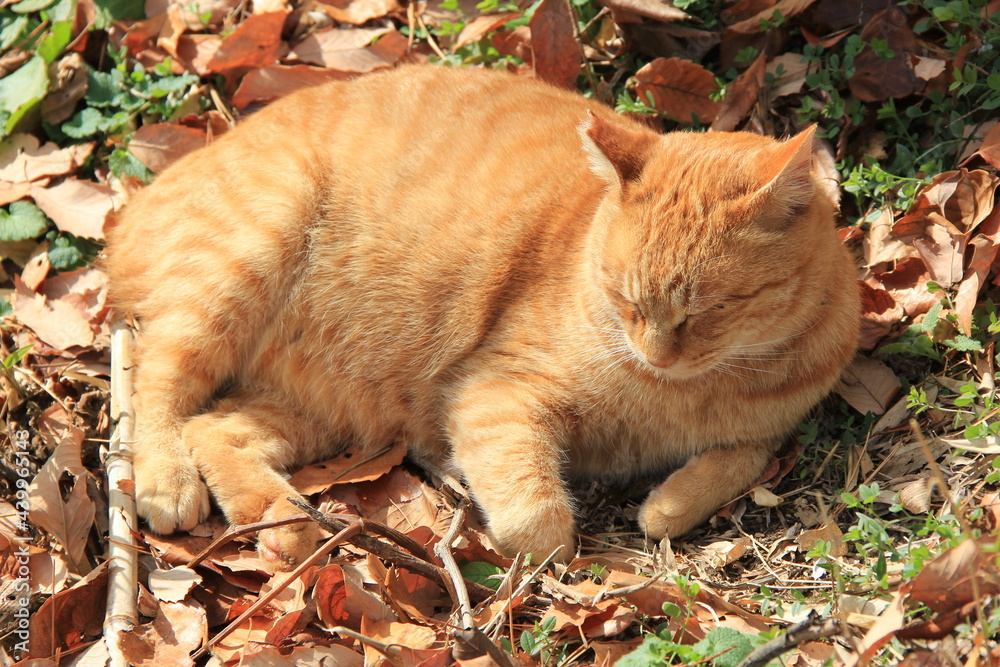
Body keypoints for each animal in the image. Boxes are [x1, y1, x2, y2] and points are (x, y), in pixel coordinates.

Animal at [105, 65, 864, 572]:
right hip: (248, 253)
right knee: (158, 382)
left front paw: (667, 505)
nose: (655, 353)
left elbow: (745, 455)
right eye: (624, 296)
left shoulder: (768, 426)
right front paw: (528, 544)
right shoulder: (494, 393)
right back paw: (169, 482)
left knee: (216, 426)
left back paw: (283, 525)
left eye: (712, 309)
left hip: (329, 407)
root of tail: (137, 199)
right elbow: (540, 519)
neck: (681, 392)